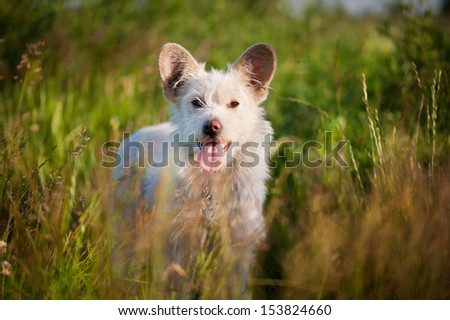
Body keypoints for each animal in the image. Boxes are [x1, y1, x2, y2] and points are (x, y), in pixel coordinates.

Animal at [114, 42, 276, 298]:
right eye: (196, 103)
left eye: (234, 104)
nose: (212, 126)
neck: (212, 183)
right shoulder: (180, 244)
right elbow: (179, 286)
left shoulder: (237, 244)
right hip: (126, 226)